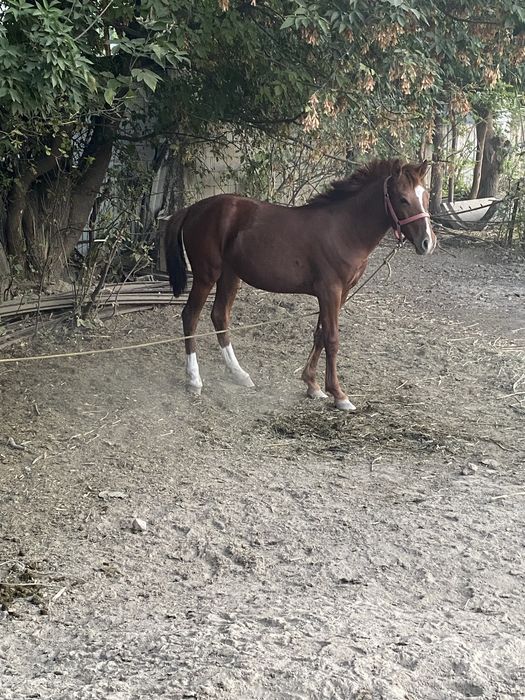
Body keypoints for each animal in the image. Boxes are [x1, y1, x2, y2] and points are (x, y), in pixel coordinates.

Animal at [165, 158, 436, 410]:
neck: (344, 229)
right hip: (206, 275)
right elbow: (332, 339)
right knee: (190, 316)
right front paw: (339, 395)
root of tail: (193, 209)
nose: (427, 242)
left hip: (231, 275)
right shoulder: (330, 291)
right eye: (402, 199)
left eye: (425, 196)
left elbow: (320, 335)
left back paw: (239, 374)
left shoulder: (340, 293)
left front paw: (312, 385)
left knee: (220, 316)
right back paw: (194, 380)